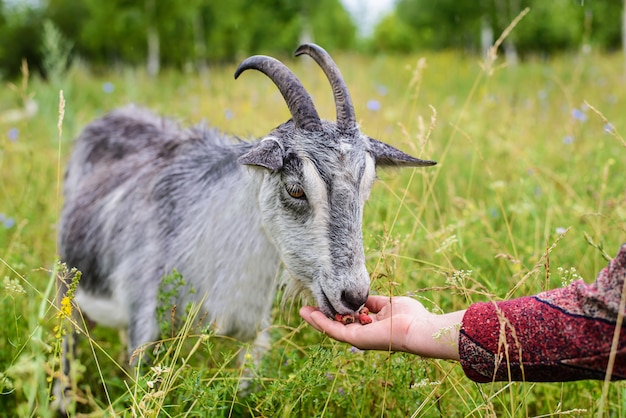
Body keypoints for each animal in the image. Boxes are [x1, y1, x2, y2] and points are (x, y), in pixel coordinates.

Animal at [54, 44, 434, 406]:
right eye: (295, 189)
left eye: (365, 187)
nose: (354, 296)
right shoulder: (143, 330)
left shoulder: (253, 338)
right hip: (67, 286)